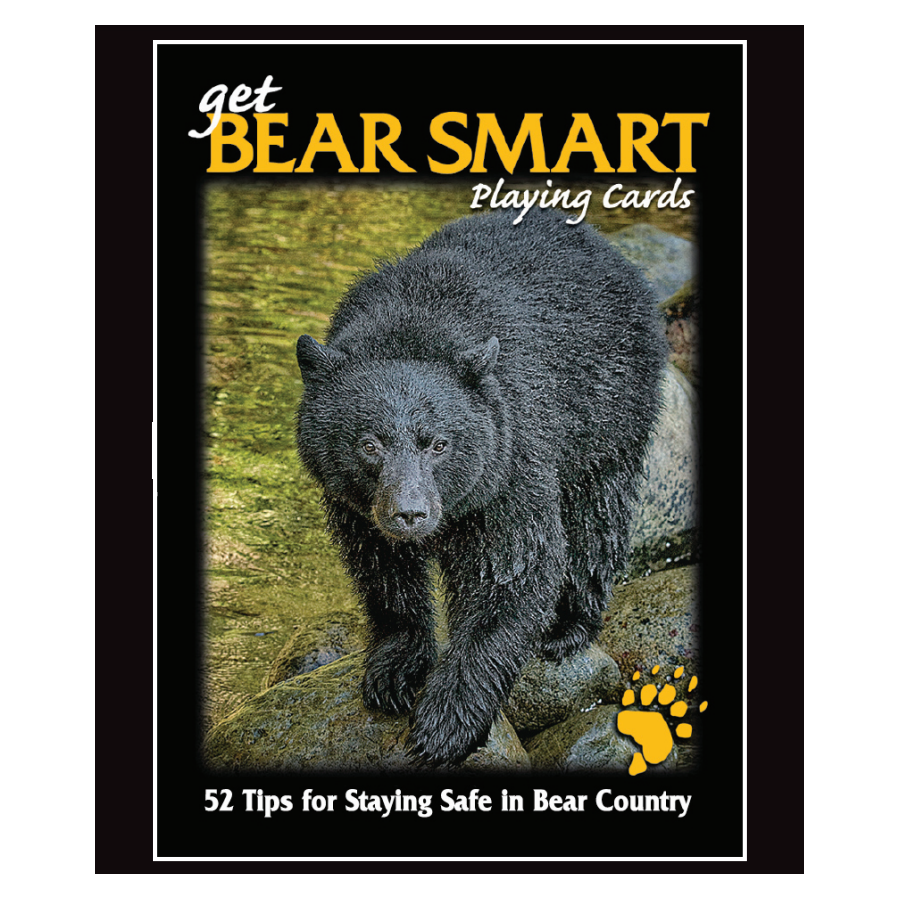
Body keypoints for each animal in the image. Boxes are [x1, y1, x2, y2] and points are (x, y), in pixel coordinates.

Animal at [295, 207, 667, 766]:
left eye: (438, 443)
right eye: (369, 443)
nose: (409, 514)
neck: (412, 324)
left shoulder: (509, 457)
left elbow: (513, 573)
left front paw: (445, 724)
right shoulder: (355, 505)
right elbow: (381, 569)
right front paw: (394, 669)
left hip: (610, 406)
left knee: (597, 514)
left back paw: (569, 626)